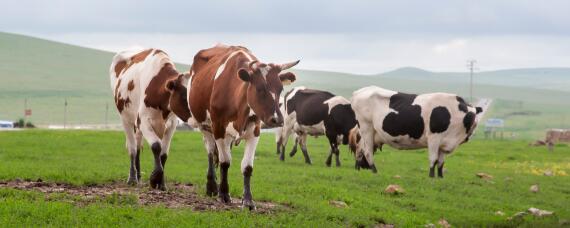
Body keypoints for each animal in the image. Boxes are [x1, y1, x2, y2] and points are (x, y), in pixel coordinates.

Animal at [110, 48, 190, 191]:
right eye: (183, 95)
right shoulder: (143, 122)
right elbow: (156, 146)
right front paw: (154, 178)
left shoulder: (171, 125)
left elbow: (163, 154)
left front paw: (161, 183)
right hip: (126, 119)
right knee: (132, 148)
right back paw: (132, 178)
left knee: (137, 146)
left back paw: (139, 176)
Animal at [189, 43, 300, 209]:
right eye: (260, 88)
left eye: (281, 89)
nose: (277, 120)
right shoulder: (219, 129)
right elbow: (225, 162)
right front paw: (224, 194)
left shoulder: (255, 131)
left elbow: (247, 167)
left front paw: (248, 200)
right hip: (204, 126)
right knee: (210, 152)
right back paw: (212, 187)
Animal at [348, 85, 482, 176]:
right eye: (471, 116)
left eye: (475, 116)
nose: (473, 127)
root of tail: (359, 91)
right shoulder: (434, 137)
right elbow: (433, 159)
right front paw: (431, 177)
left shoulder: (444, 143)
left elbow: (441, 163)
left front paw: (440, 177)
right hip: (366, 127)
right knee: (367, 152)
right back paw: (375, 171)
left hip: (367, 133)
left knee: (360, 150)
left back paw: (358, 169)